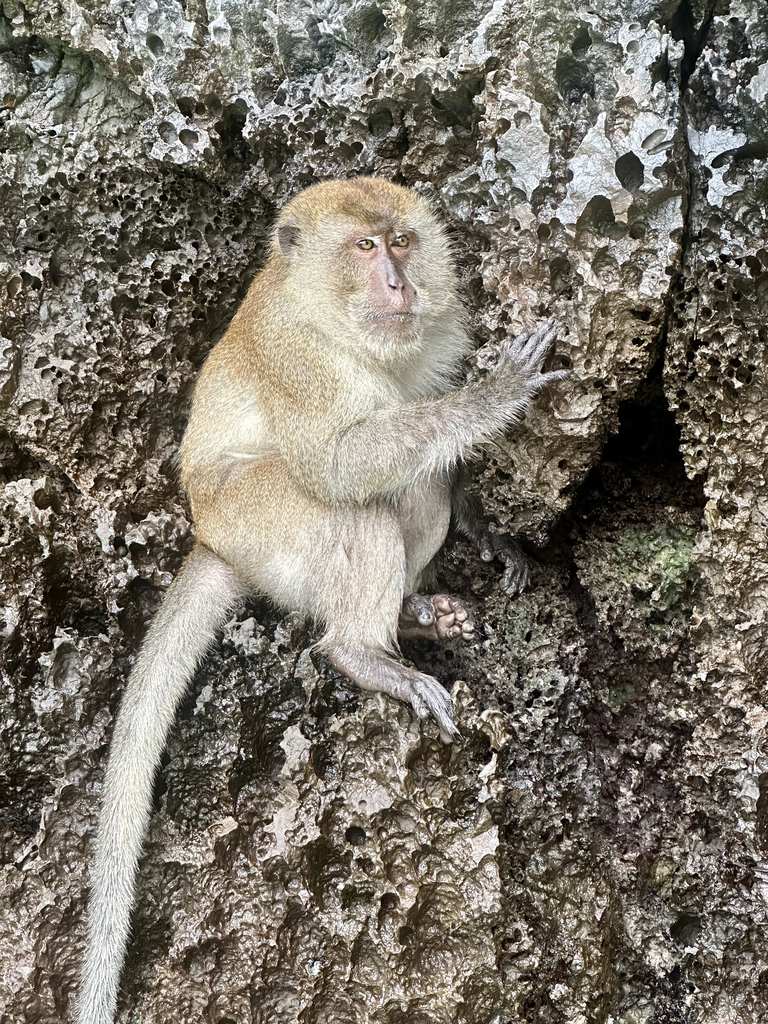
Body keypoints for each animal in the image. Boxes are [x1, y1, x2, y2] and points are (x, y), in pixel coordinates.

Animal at [76, 177, 567, 1024]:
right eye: (364, 248)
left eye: (401, 241)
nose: (399, 284)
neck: (333, 316)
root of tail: (211, 536)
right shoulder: (300, 361)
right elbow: (341, 465)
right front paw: (493, 397)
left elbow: (430, 449)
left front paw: (488, 530)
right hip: (260, 521)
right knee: (350, 503)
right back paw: (362, 651)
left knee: (414, 479)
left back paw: (412, 614)